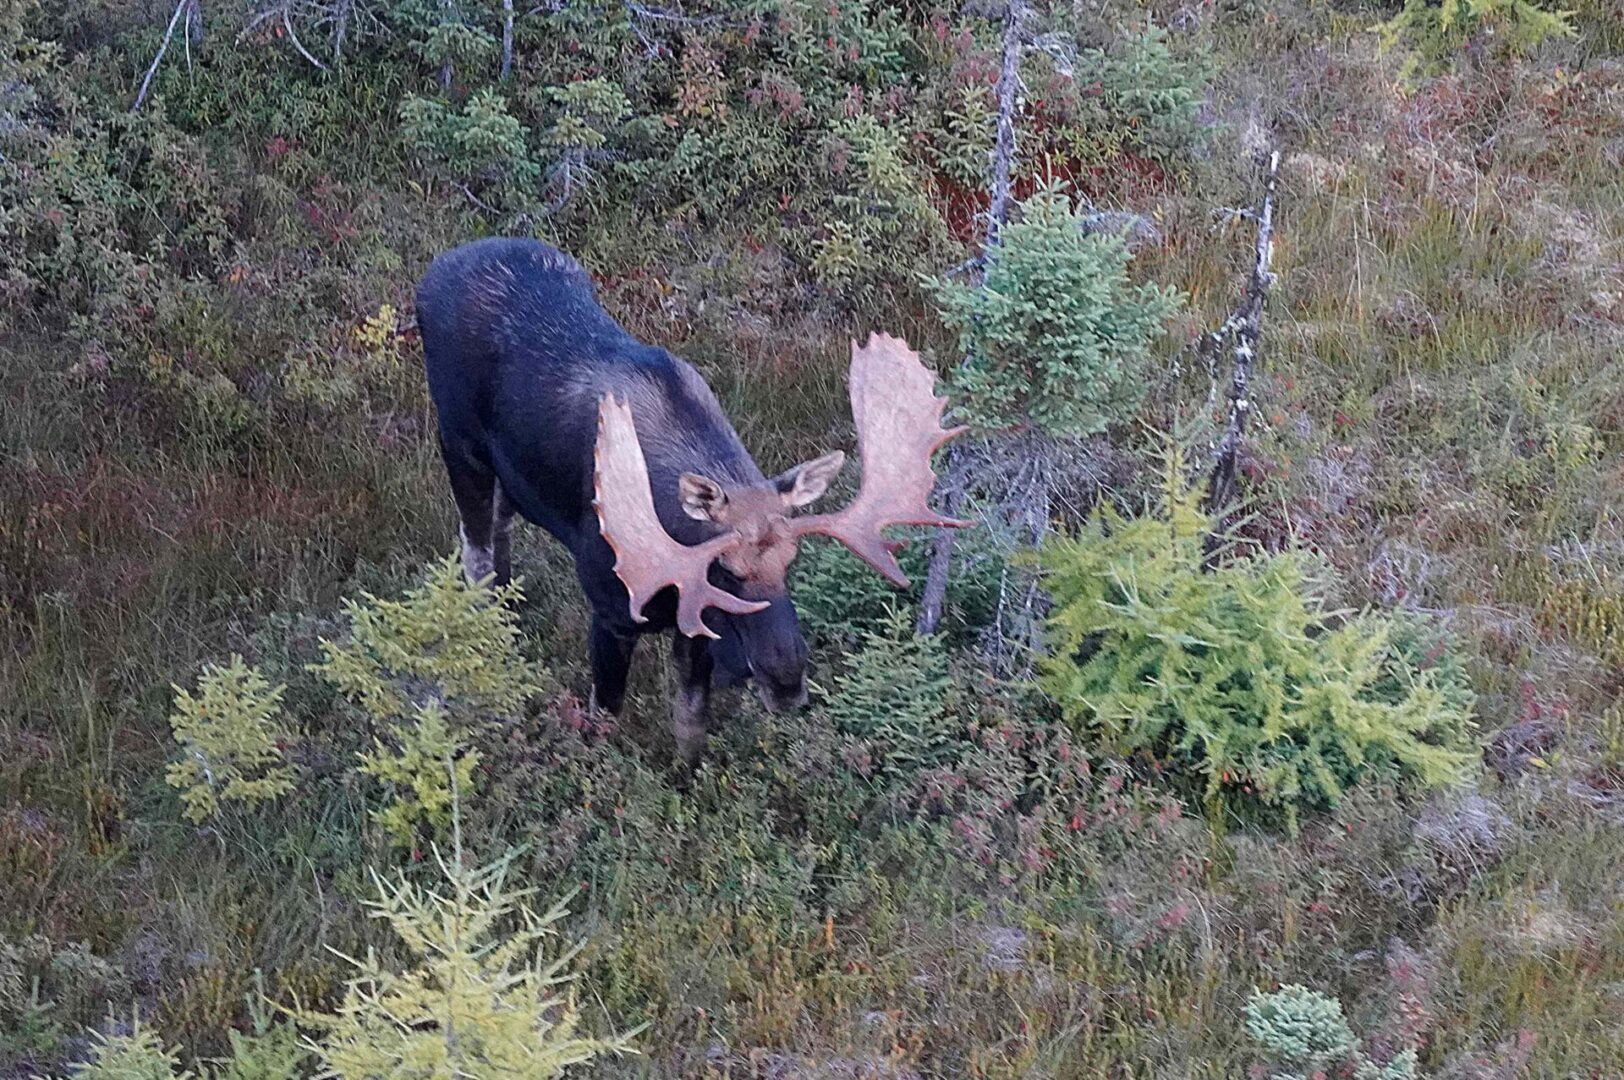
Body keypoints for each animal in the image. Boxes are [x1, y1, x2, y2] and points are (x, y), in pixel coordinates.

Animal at [415, 238, 961, 756]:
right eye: (727, 572)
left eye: (793, 560)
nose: (788, 681)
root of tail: (433, 271)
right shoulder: (612, 612)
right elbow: (604, 714)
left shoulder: (693, 625)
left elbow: (691, 723)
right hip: (458, 444)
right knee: (476, 546)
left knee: (499, 529)